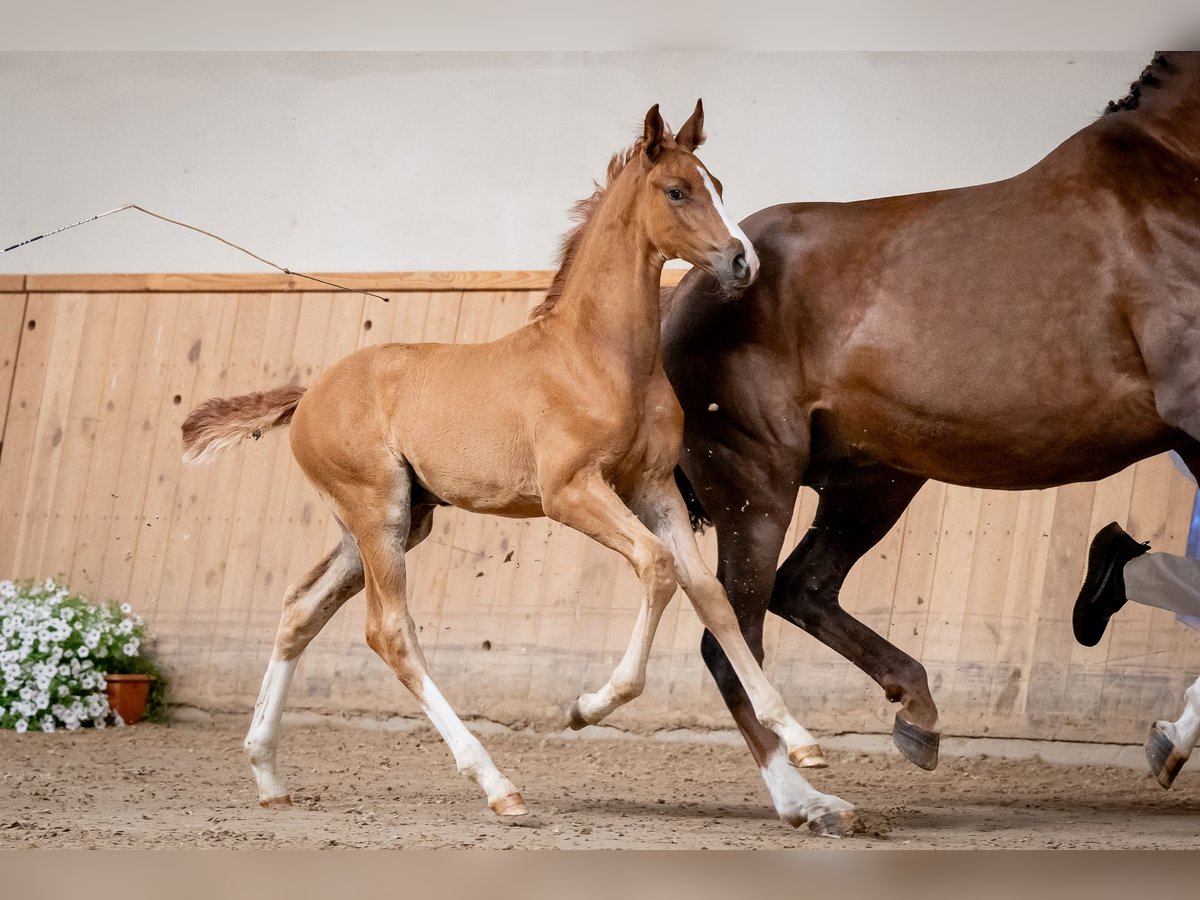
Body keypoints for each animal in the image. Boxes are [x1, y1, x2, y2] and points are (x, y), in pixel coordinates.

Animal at [182, 107, 854, 840]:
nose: (741, 261)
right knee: (390, 631)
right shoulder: (571, 492)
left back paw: (268, 776)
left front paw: (801, 738)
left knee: (301, 610)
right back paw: (498, 785)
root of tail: (308, 395)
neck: (597, 355)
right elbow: (656, 567)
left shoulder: (651, 489)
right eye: (677, 190)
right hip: (377, 513)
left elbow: (709, 592)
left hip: (396, 522)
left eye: (720, 185)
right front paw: (587, 706)